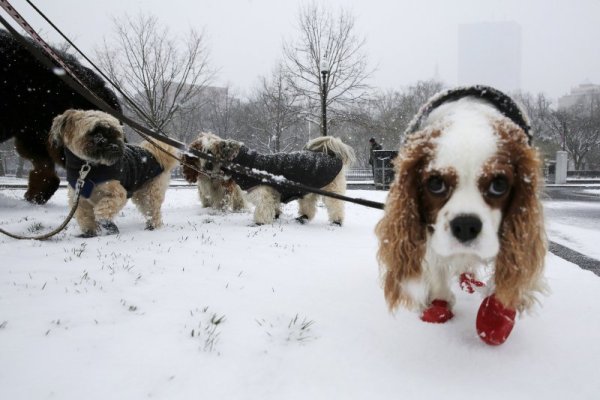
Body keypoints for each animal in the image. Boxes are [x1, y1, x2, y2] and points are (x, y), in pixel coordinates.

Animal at [48, 109, 178, 236]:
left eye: (116, 134)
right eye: (97, 133)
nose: (115, 146)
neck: (88, 166)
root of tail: (152, 152)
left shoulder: (116, 193)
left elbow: (103, 208)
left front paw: (107, 225)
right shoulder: (79, 198)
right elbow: (84, 216)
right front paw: (89, 231)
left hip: (150, 192)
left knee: (153, 210)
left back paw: (153, 225)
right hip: (141, 194)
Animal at [376, 86, 548, 346]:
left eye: (499, 184)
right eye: (435, 183)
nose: (466, 225)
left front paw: (497, 316)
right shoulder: (431, 233)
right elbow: (436, 265)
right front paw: (439, 303)